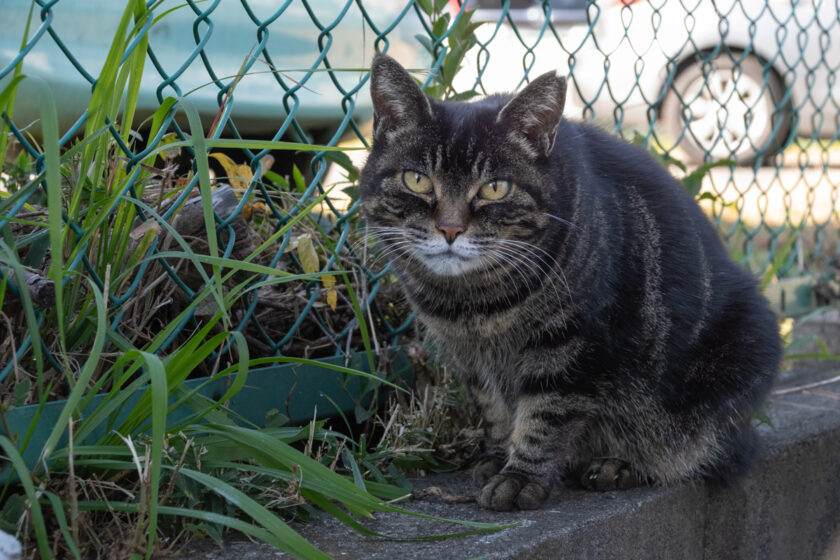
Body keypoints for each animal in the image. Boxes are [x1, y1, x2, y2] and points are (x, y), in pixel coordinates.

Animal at [360, 54, 780, 510]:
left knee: (694, 448)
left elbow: (545, 416)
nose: (450, 229)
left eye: (495, 188)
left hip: (742, 348)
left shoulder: (569, 345)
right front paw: (498, 456)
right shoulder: (472, 360)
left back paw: (618, 465)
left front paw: (520, 477)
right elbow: (494, 410)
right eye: (417, 180)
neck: (475, 304)